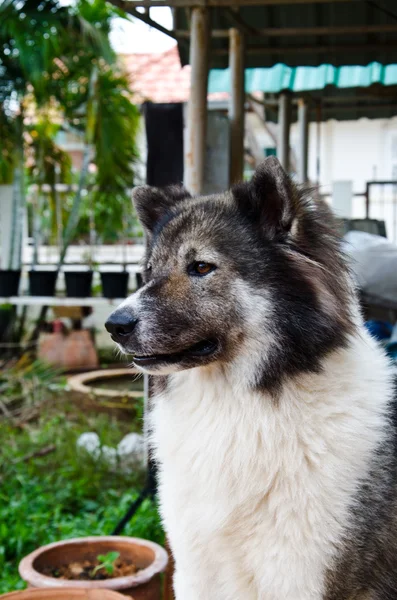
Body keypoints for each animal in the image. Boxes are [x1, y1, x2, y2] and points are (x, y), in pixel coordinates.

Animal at [105, 157, 396, 596]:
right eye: (148, 273)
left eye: (201, 267)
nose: (114, 325)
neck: (237, 407)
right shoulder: (196, 570)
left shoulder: (304, 578)